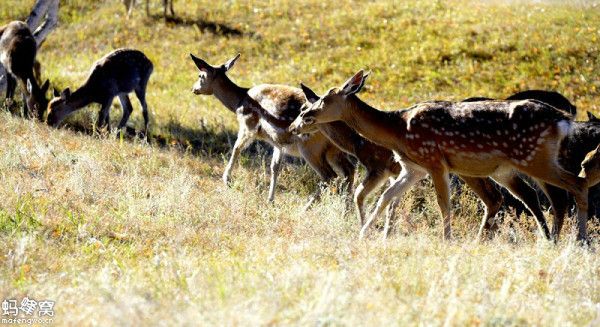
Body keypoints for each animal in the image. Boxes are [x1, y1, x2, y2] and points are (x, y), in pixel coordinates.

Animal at [190, 53, 354, 205]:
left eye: (200, 75)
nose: (194, 89)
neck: (238, 103)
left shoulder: (248, 125)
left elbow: (236, 148)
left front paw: (227, 180)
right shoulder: (278, 142)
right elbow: (275, 167)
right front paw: (270, 199)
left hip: (309, 146)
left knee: (330, 176)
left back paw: (308, 207)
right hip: (334, 149)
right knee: (349, 170)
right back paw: (346, 207)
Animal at [290, 70, 592, 243]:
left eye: (323, 99)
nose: (302, 120)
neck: (398, 129)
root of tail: (563, 119)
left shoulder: (434, 160)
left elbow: (443, 203)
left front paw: (446, 239)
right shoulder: (413, 167)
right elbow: (387, 197)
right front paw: (364, 233)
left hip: (533, 158)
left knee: (576, 185)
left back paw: (579, 241)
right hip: (516, 165)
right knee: (551, 196)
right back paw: (553, 240)